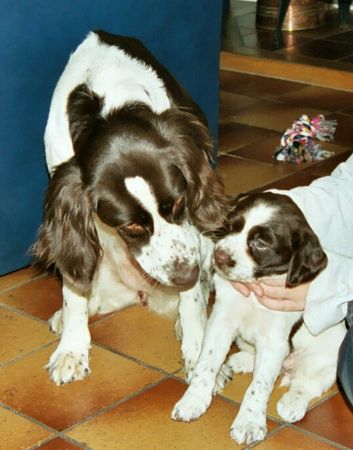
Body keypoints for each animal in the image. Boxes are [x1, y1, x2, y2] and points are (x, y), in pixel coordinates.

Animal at [33, 29, 226, 384]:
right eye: (131, 225)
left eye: (179, 203)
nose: (185, 275)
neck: (113, 103)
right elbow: (73, 287)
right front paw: (72, 348)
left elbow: (193, 302)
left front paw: (198, 356)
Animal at [172, 192, 346, 446]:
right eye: (230, 226)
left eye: (261, 244)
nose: (219, 256)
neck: (253, 293)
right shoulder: (220, 324)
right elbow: (206, 364)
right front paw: (193, 400)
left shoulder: (274, 342)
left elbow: (260, 385)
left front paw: (249, 422)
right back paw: (241, 360)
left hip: (323, 357)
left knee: (306, 384)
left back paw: (292, 403)